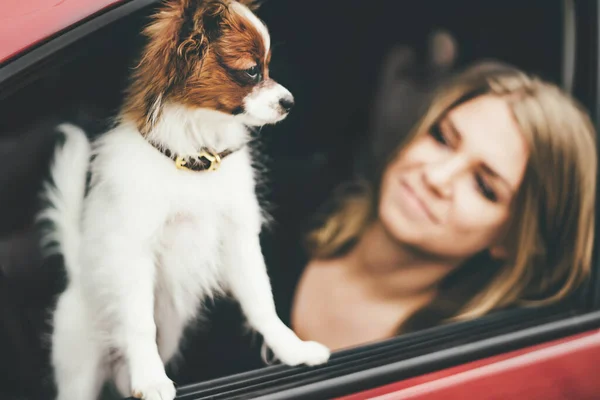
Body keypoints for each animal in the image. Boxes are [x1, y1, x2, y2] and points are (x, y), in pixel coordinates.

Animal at [39, 1, 330, 398]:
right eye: (252, 71)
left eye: (268, 68)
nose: (290, 102)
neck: (194, 162)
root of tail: (77, 272)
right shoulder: (136, 253)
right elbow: (140, 323)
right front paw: (151, 380)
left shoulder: (237, 238)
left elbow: (261, 300)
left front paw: (293, 350)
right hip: (81, 364)